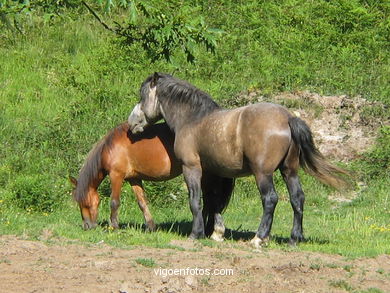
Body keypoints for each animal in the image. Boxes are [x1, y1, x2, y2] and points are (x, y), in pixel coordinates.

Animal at [68, 122, 233, 238]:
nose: (87, 226)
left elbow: (114, 202)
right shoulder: (134, 179)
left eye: (85, 203)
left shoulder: (116, 175)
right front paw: (151, 226)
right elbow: (142, 203)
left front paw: (113, 227)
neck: (110, 147)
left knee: (211, 201)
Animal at [128, 72, 350, 245]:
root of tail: (288, 118)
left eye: (142, 95)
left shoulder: (192, 168)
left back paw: (259, 238)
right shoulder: (212, 172)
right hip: (289, 171)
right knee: (297, 198)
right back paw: (294, 238)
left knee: (270, 199)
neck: (193, 119)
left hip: (263, 173)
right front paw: (216, 233)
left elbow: (195, 200)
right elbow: (213, 200)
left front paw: (196, 234)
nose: (131, 123)